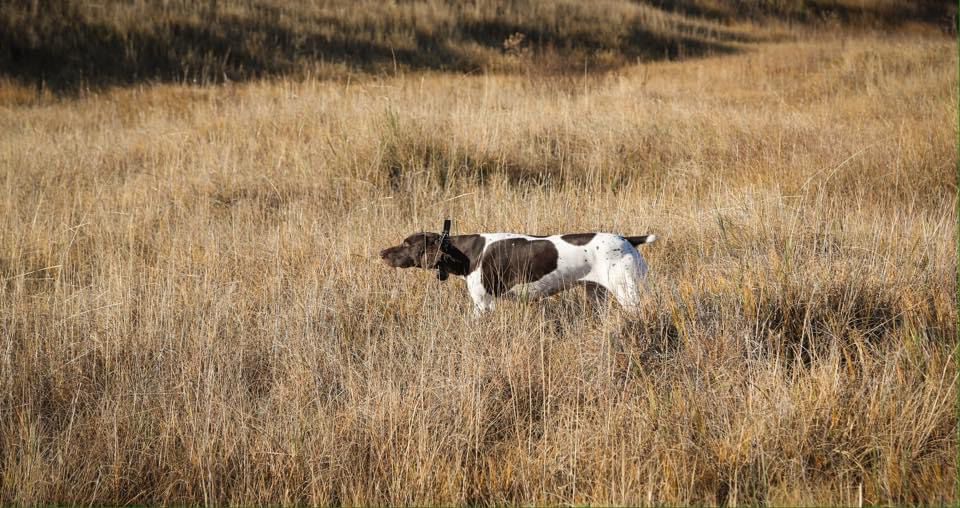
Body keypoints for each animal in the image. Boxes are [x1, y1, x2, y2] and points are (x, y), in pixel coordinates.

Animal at [378, 231, 656, 314]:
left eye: (406, 243)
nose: (381, 252)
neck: (465, 251)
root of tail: (628, 239)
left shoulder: (483, 306)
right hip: (596, 293)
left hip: (628, 292)